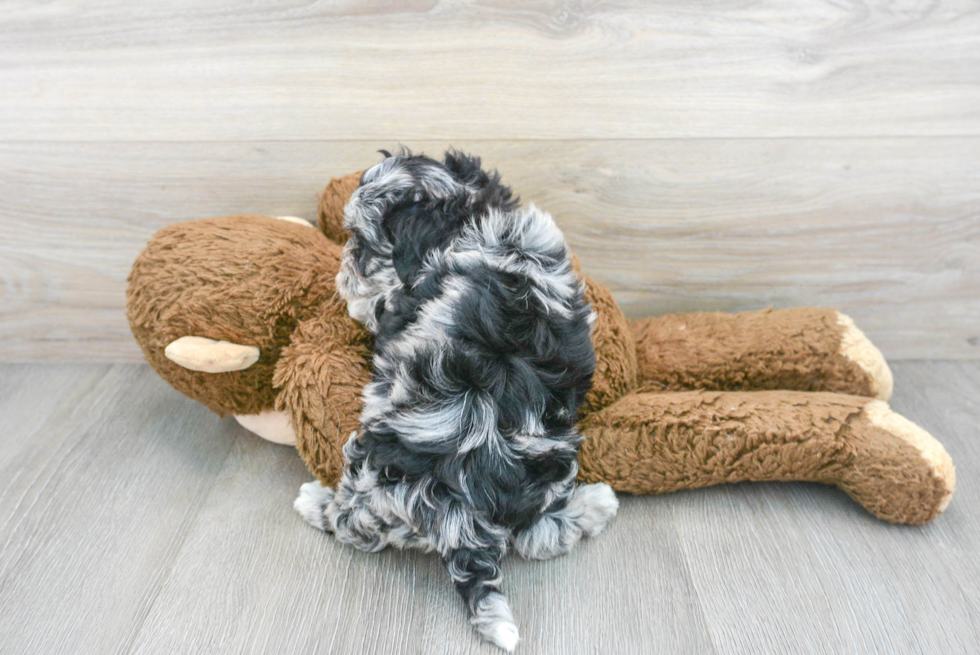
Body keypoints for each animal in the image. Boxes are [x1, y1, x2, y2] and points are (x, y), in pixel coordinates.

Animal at [292, 150, 620, 652]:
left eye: (361, 244)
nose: (342, 272)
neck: (469, 219)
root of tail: (457, 506)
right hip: (553, 462)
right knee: (539, 535)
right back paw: (596, 505)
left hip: (370, 468)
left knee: (355, 525)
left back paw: (315, 503)